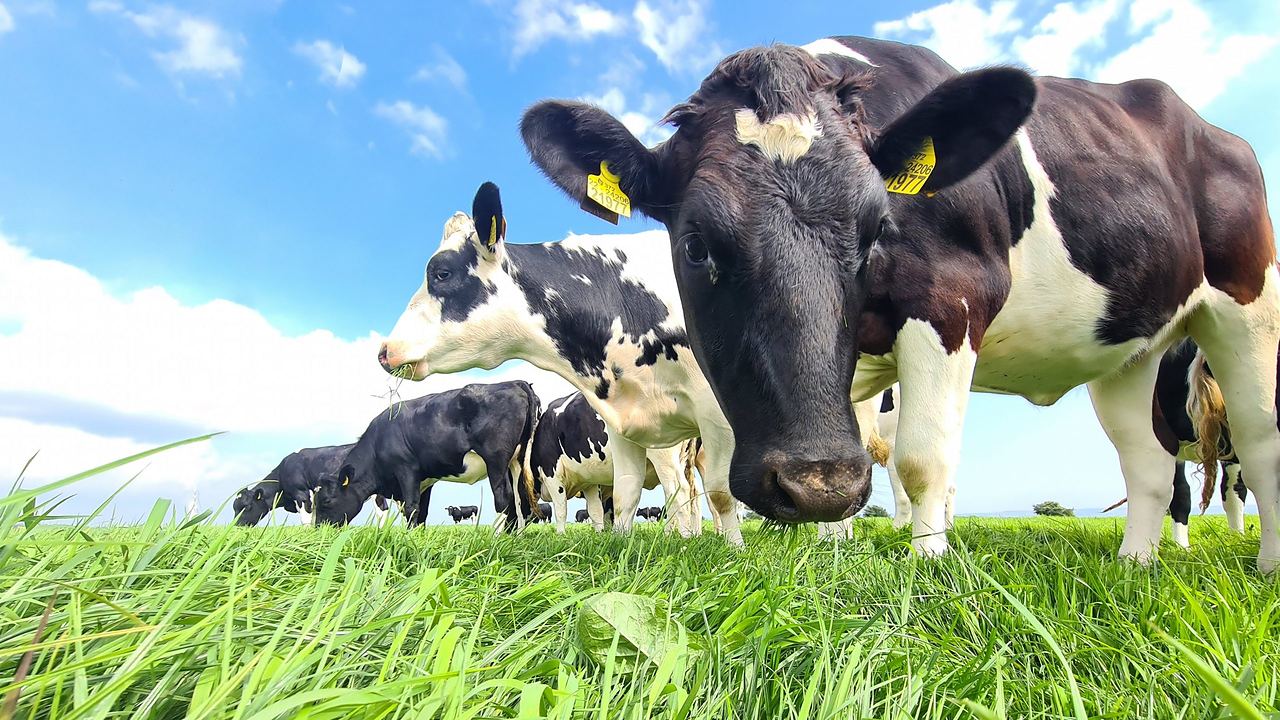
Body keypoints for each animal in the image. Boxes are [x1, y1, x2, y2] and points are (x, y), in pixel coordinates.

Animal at [313, 381, 540, 529]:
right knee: (520, 500)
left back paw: (496, 537)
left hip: (496, 459)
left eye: (326, 501)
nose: (320, 530)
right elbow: (422, 511)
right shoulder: (425, 480)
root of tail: (514, 383)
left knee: (503, 497)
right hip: (517, 461)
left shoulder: (406, 469)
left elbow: (411, 507)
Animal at [525, 391, 692, 534]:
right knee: (676, 496)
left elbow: (561, 509)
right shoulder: (589, 482)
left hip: (663, 455)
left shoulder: (552, 474)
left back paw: (684, 536)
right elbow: (595, 510)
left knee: (680, 490)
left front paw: (561, 535)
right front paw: (599, 534)